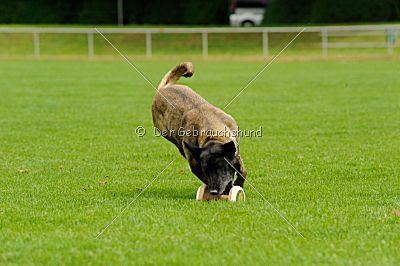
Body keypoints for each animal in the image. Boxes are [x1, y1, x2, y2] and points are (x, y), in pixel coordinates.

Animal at [152, 62, 247, 195]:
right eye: (206, 170)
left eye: (220, 167)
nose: (213, 192)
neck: (212, 134)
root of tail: (163, 89)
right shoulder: (196, 166)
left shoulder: (236, 153)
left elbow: (243, 171)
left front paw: (238, 183)